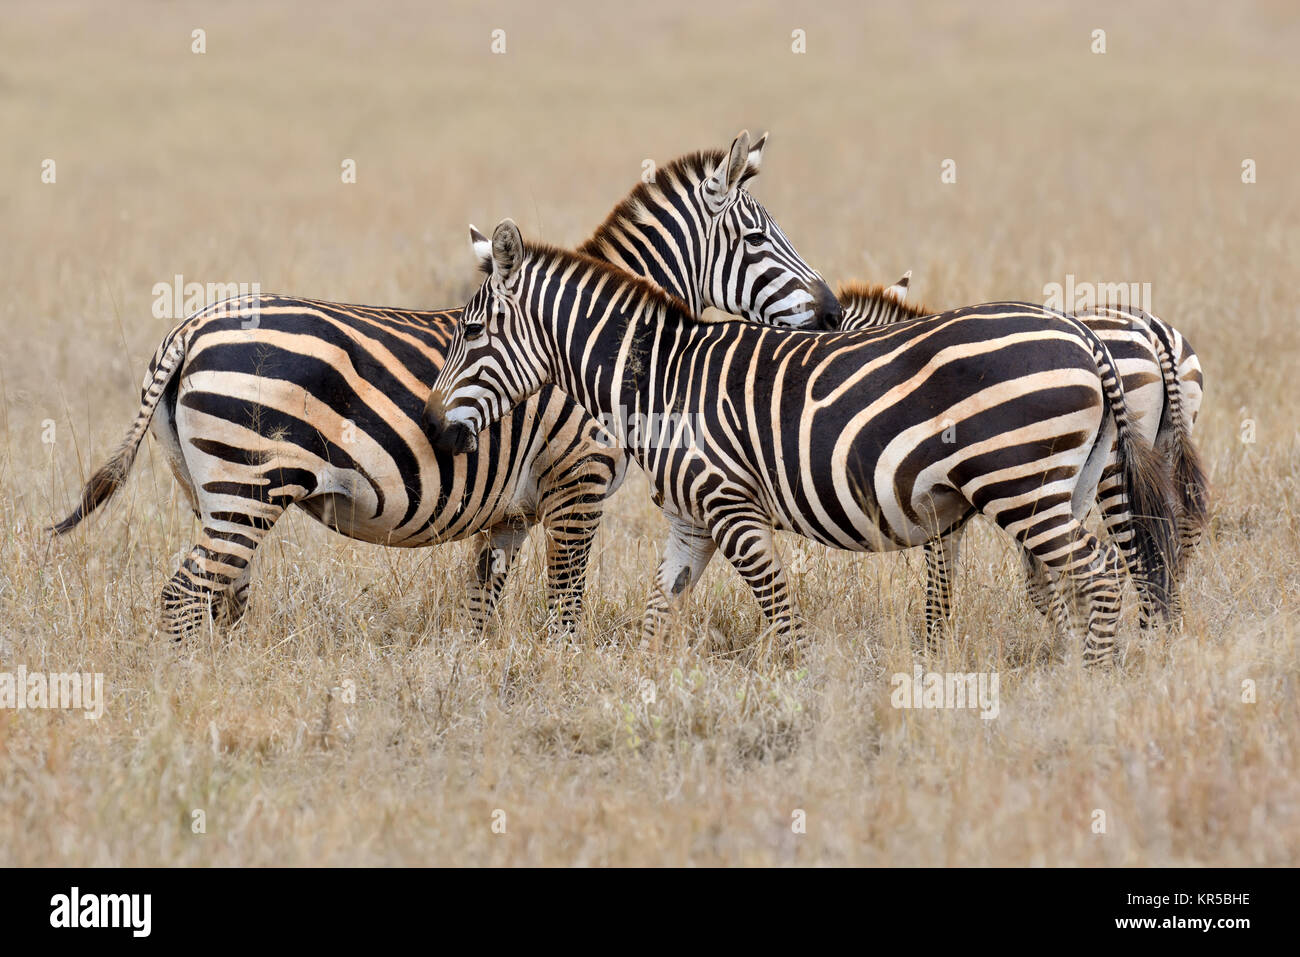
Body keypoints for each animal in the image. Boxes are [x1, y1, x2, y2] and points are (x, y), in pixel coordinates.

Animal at [50, 130, 840, 640]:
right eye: (757, 240)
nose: (833, 313)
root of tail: (192, 326)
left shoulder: (510, 513)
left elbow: (481, 613)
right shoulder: (575, 483)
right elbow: (564, 610)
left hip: (210, 492)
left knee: (218, 599)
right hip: (248, 485)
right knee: (183, 598)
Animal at [836, 278, 1208, 642]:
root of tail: (1152, 330)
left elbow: (1025, 581)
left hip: (1115, 469)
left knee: (1142, 552)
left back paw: (1148, 638)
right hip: (1166, 446)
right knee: (1180, 532)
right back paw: (1169, 632)